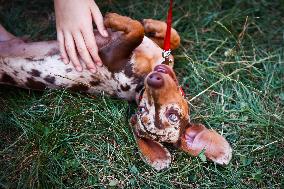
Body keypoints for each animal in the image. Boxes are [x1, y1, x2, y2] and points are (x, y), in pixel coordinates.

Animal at [0, 12, 232, 170]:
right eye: (142, 109)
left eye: (172, 115)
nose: (153, 79)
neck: (140, 82)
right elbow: (163, 35)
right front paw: (151, 24)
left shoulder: (109, 55)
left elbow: (137, 30)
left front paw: (113, 19)